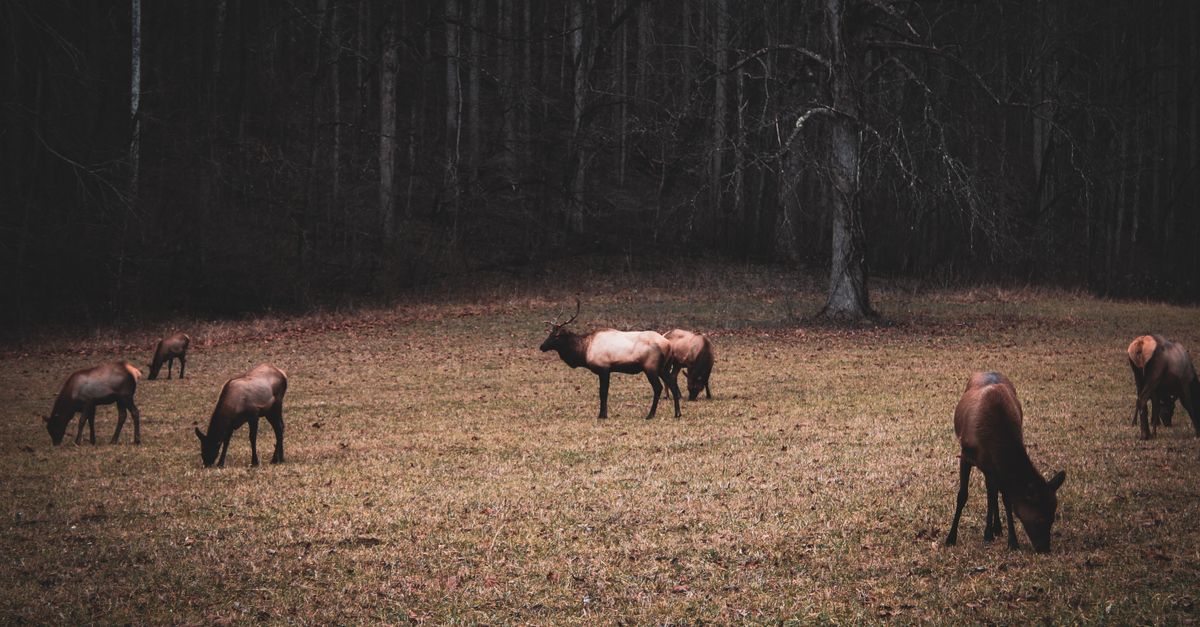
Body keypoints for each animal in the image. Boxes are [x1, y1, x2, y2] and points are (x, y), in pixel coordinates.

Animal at [539, 300, 681, 419]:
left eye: (556, 336)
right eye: (549, 333)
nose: (542, 346)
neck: (584, 351)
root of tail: (668, 345)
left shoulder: (604, 368)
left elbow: (603, 392)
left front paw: (602, 415)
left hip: (650, 367)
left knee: (658, 388)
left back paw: (650, 415)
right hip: (663, 368)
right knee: (673, 384)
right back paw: (677, 413)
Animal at [945, 372, 1066, 553]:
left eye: (1053, 518)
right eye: (1040, 520)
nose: (1045, 548)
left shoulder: (996, 466)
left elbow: (1005, 498)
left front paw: (1011, 541)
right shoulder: (966, 456)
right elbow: (962, 495)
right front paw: (951, 537)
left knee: (993, 492)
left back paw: (996, 528)